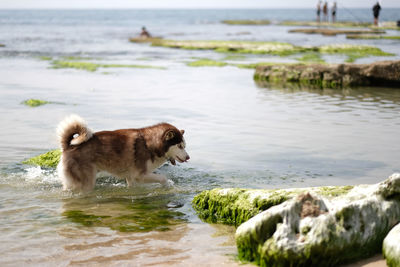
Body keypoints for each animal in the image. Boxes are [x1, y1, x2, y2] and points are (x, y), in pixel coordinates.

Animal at [55, 115, 191, 193]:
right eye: (179, 146)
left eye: (184, 146)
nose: (188, 157)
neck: (150, 144)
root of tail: (68, 146)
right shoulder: (139, 175)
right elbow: (163, 177)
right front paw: (167, 185)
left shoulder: (131, 178)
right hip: (86, 183)